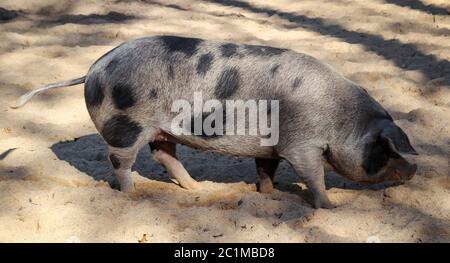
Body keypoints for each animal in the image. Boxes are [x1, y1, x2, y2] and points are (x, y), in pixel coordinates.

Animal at [11, 35, 418, 208]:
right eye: (388, 148)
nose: (417, 170)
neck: (341, 117)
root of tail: (94, 67)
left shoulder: (271, 143)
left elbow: (266, 169)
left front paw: (267, 196)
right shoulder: (302, 143)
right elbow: (313, 175)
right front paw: (329, 208)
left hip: (160, 129)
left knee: (163, 154)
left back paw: (196, 188)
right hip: (126, 126)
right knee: (121, 160)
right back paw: (132, 193)